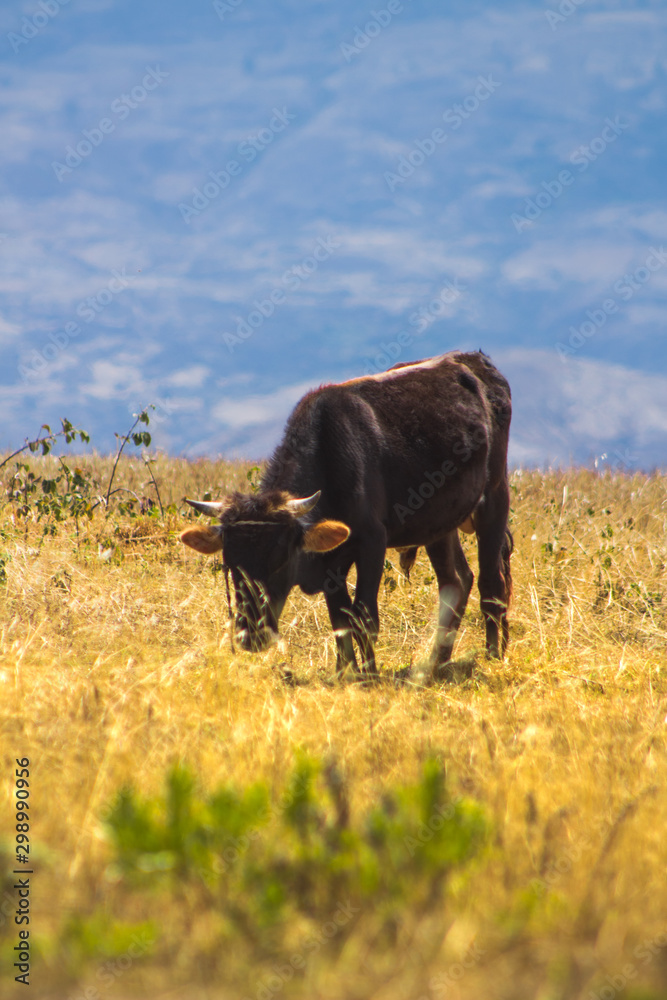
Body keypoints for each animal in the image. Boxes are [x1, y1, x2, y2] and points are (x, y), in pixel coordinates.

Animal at [180, 350, 513, 675]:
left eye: (279, 561)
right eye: (230, 566)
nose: (251, 636)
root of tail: (475, 360)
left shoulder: (372, 542)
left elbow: (364, 617)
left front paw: (369, 674)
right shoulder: (333, 563)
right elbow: (339, 620)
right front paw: (345, 670)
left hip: (494, 497)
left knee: (490, 582)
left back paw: (493, 655)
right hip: (440, 524)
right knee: (456, 581)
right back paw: (437, 661)